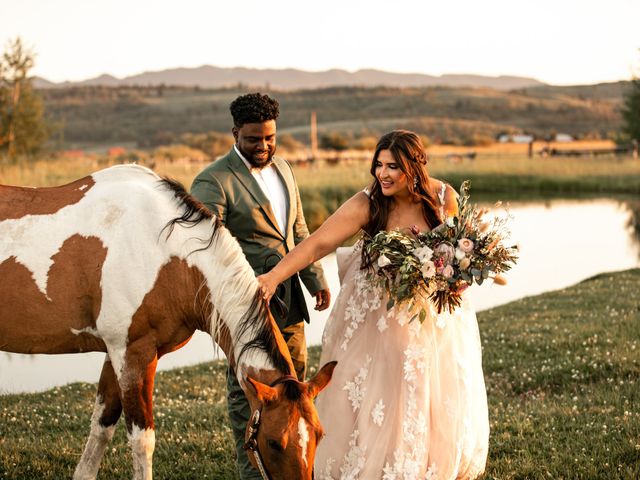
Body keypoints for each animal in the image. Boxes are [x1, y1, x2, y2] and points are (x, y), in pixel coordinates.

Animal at [0, 165, 338, 480]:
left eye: (320, 435)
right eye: (273, 442)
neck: (164, 250)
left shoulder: (116, 353)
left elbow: (101, 427)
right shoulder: (133, 354)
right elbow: (142, 440)